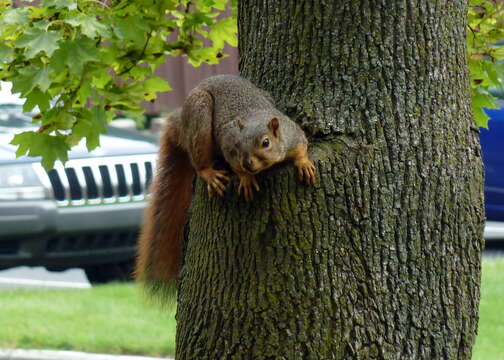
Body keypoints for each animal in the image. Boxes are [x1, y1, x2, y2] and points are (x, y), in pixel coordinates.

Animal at [134, 74, 316, 292]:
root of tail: (182, 120)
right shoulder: (226, 143)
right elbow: (233, 163)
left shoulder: (292, 133)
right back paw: (210, 174)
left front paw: (304, 163)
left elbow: (301, 146)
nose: (247, 163)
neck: (255, 117)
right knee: (198, 161)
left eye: (266, 143)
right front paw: (245, 178)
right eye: (237, 145)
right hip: (199, 117)